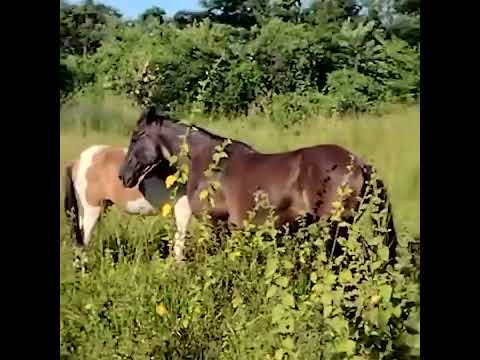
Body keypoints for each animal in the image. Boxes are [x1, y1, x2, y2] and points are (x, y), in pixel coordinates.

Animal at [118, 107, 396, 262]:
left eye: (136, 137)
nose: (123, 176)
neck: (209, 162)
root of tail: (359, 163)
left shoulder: (216, 224)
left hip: (336, 227)